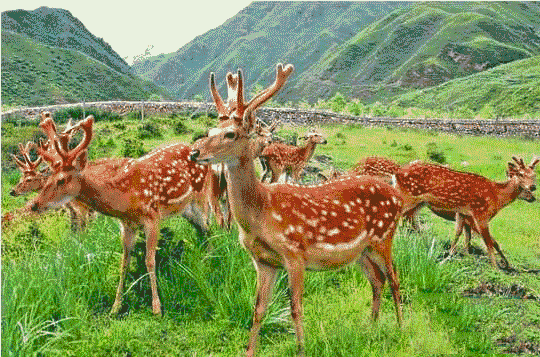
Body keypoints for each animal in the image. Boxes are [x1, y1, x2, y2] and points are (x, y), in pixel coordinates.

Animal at [27, 114, 225, 314]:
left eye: (61, 180)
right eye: (46, 178)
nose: (34, 205)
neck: (124, 199)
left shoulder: (153, 216)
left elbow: (149, 260)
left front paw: (157, 307)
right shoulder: (126, 225)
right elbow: (124, 262)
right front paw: (116, 306)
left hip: (201, 197)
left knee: (209, 226)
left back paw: (210, 260)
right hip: (186, 210)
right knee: (202, 230)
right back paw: (205, 259)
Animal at [190, 64, 404, 356]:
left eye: (230, 134)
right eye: (211, 129)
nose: (194, 152)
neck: (261, 213)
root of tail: (399, 197)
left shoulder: (295, 253)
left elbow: (296, 307)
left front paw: (302, 348)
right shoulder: (264, 261)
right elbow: (258, 309)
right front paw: (249, 350)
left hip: (384, 237)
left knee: (394, 279)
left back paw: (402, 329)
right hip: (361, 251)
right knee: (377, 280)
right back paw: (370, 327)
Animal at [394, 156, 536, 268]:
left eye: (534, 175)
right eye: (521, 174)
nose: (533, 189)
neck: (496, 196)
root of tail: (397, 173)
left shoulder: (464, 214)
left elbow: (464, 236)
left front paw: (461, 255)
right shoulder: (480, 213)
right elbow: (489, 242)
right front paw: (496, 267)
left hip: (419, 202)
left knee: (411, 219)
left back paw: (424, 240)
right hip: (409, 196)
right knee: (401, 216)